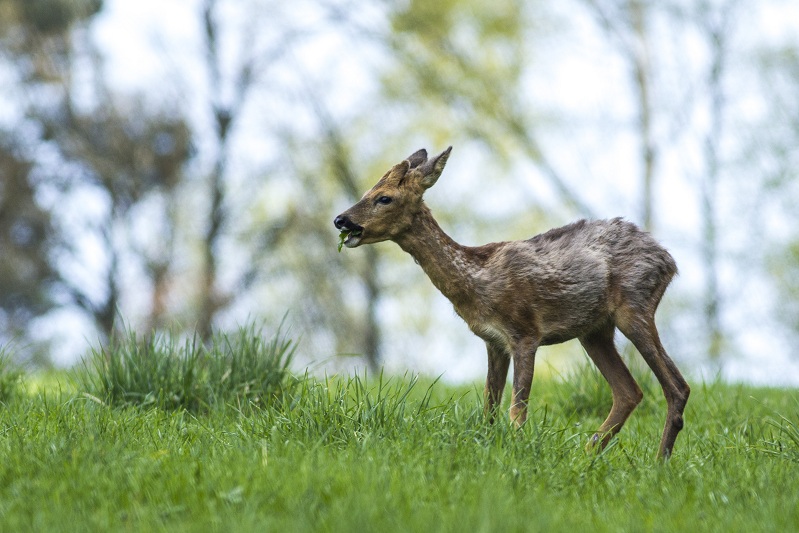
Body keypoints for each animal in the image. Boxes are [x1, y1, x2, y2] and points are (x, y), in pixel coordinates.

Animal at [334, 145, 692, 458]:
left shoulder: (525, 331)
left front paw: (518, 450)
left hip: (635, 305)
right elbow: (489, 408)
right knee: (629, 391)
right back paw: (588, 454)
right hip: (593, 330)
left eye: (384, 197)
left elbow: (517, 409)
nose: (341, 220)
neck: (476, 282)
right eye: (367, 190)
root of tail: (669, 260)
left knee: (677, 387)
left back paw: (658, 461)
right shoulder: (494, 341)